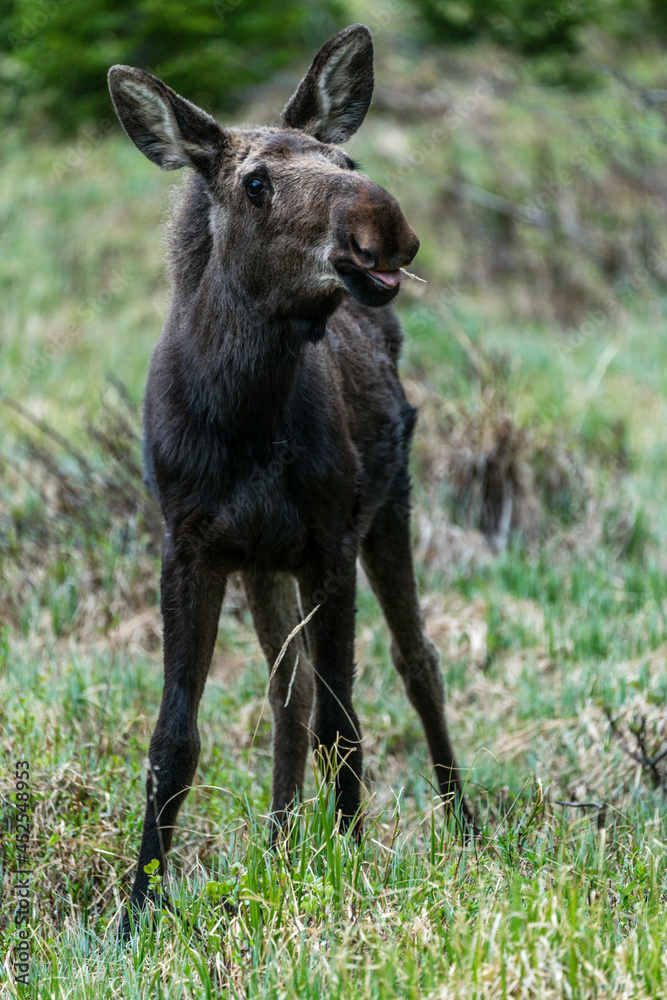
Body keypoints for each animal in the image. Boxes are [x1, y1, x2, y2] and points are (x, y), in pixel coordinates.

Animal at [108, 23, 472, 937]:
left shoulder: (328, 542)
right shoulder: (194, 546)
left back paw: (463, 828)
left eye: (344, 161)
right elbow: (176, 737)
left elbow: (345, 721)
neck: (243, 413)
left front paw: (349, 864)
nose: (382, 225)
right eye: (254, 181)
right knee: (289, 699)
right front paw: (137, 908)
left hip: (389, 508)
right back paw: (279, 846)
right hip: (262, 567)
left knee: (416, 663)